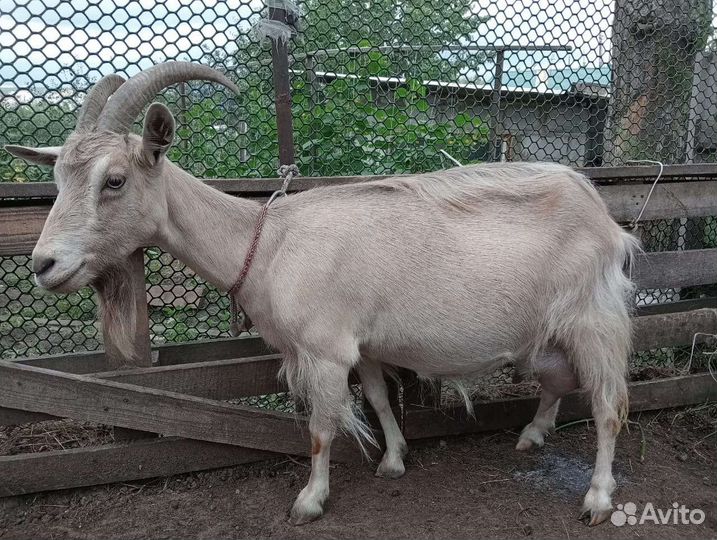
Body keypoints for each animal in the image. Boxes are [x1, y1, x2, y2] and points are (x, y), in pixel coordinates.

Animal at [6, 62, 639, 526]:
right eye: (57, 177)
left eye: (114, 180)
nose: (44, 265)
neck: (267, 243)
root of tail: (604, 217)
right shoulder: (365, 344)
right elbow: (379, 400)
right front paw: (394, 461)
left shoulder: (325, 350)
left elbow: (320, 428)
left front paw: (310, 500)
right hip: (548, 331)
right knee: (558, 381)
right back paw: (532, 436)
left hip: (593, 317)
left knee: (608, 404)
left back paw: (597, 499)